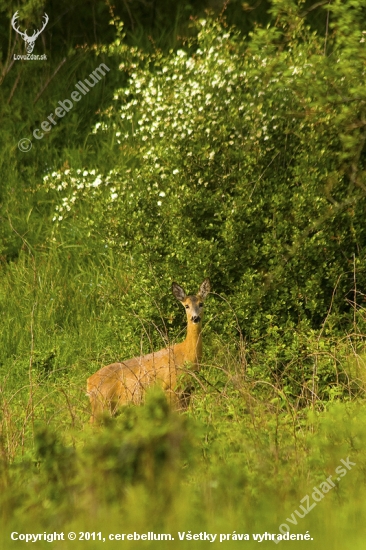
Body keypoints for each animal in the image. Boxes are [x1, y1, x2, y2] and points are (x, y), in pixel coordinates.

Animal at [86, 278, 212, 424]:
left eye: (201, 304)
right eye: (186, 306)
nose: (195, 318)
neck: (186, 355)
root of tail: (89, 382)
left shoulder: (187, 391)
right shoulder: (170, 387)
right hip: (102, 404)